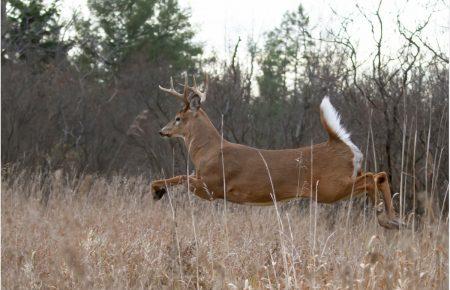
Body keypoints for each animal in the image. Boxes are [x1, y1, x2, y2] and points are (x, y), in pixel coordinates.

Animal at [145, 76, 404, 230]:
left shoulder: (212, 187)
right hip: (339, 181)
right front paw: (157, 190)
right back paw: (391, 217)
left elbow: (181, 177)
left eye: (177, 118)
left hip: (328, 187)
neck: (207, 152)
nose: (161, 131)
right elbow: (179, 176)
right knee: (377, 176)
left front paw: (157, 191)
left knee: (374, 177)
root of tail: (340, 143)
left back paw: (385, 218)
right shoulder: (206, 183)